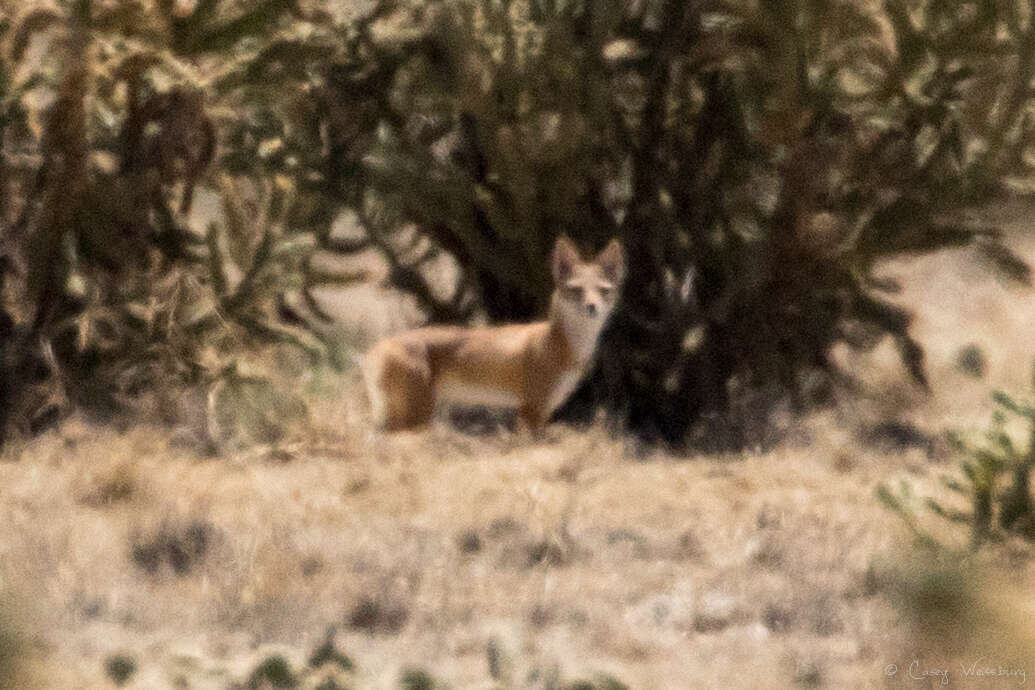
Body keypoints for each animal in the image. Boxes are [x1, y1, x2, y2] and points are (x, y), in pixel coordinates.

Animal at [364, 237, 621, 432]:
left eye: (603, 291)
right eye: (576, 290)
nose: (592, 307)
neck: (562, 345)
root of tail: (375, 348)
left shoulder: (543, 410)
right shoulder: (531, 409)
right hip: (415, 417)